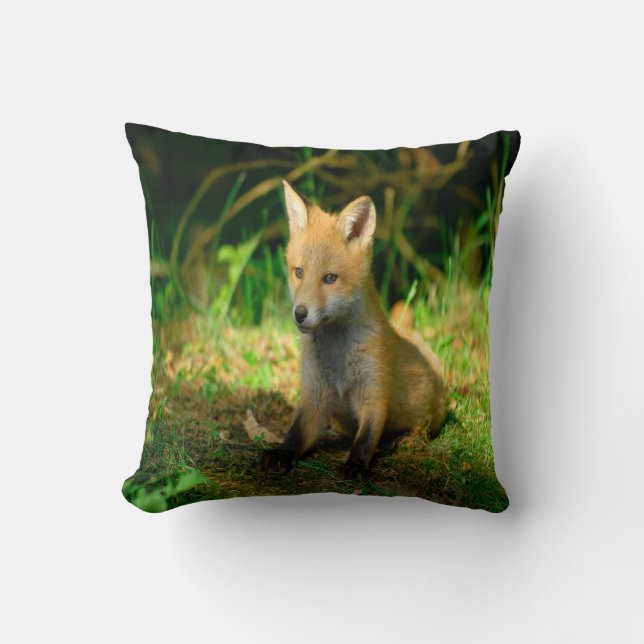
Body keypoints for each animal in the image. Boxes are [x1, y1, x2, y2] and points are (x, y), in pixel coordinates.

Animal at [256, 180, 446, 481]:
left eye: (330, 278)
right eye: (299, 272)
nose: (300, 313)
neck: (338, 358)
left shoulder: (374, 393)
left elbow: (366, 437)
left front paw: (356, 464)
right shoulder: (315, 397)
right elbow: (295, 434)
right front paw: (279, 454)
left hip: (428, 416)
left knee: (422, 428)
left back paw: (405, 439)